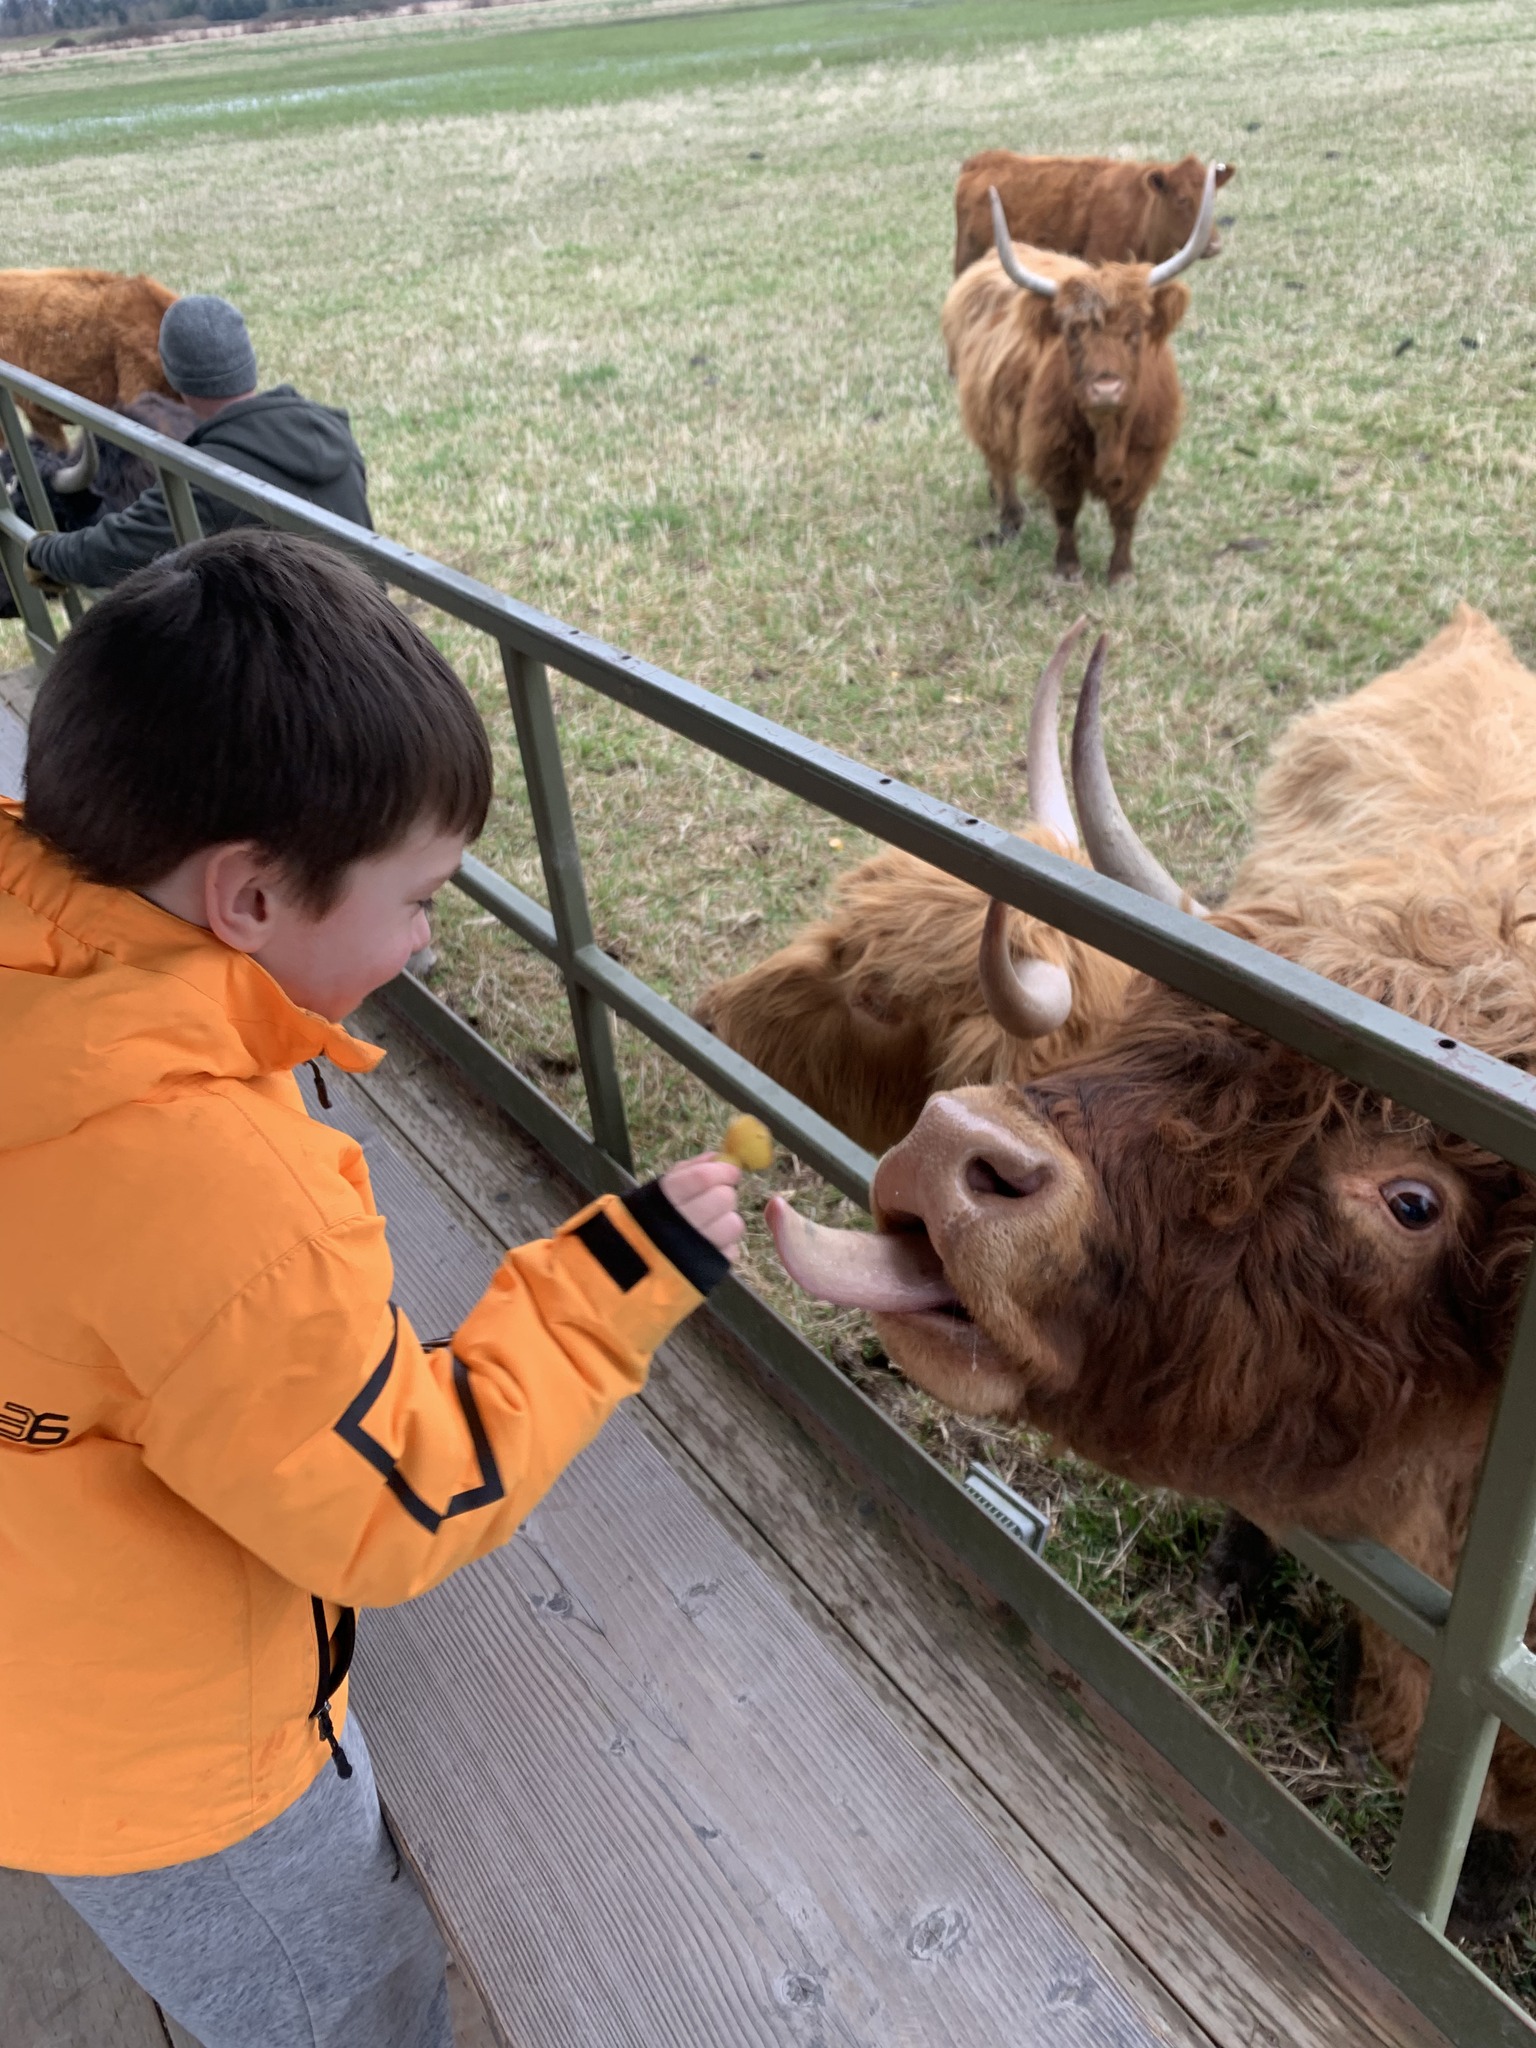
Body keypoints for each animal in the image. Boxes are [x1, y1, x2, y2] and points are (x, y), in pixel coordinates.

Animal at [943, 169, 1216, 581]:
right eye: (1073, 332)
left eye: (1134, 332)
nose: (1106, 389)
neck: (1107, 433)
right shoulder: (1057, 457)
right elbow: (1066, 513)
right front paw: (1068, 568)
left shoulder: (1144, 458)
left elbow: (1125, 516)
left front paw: (1121, 572)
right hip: (986, 408)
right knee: (1000, 462)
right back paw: (1010, 518)